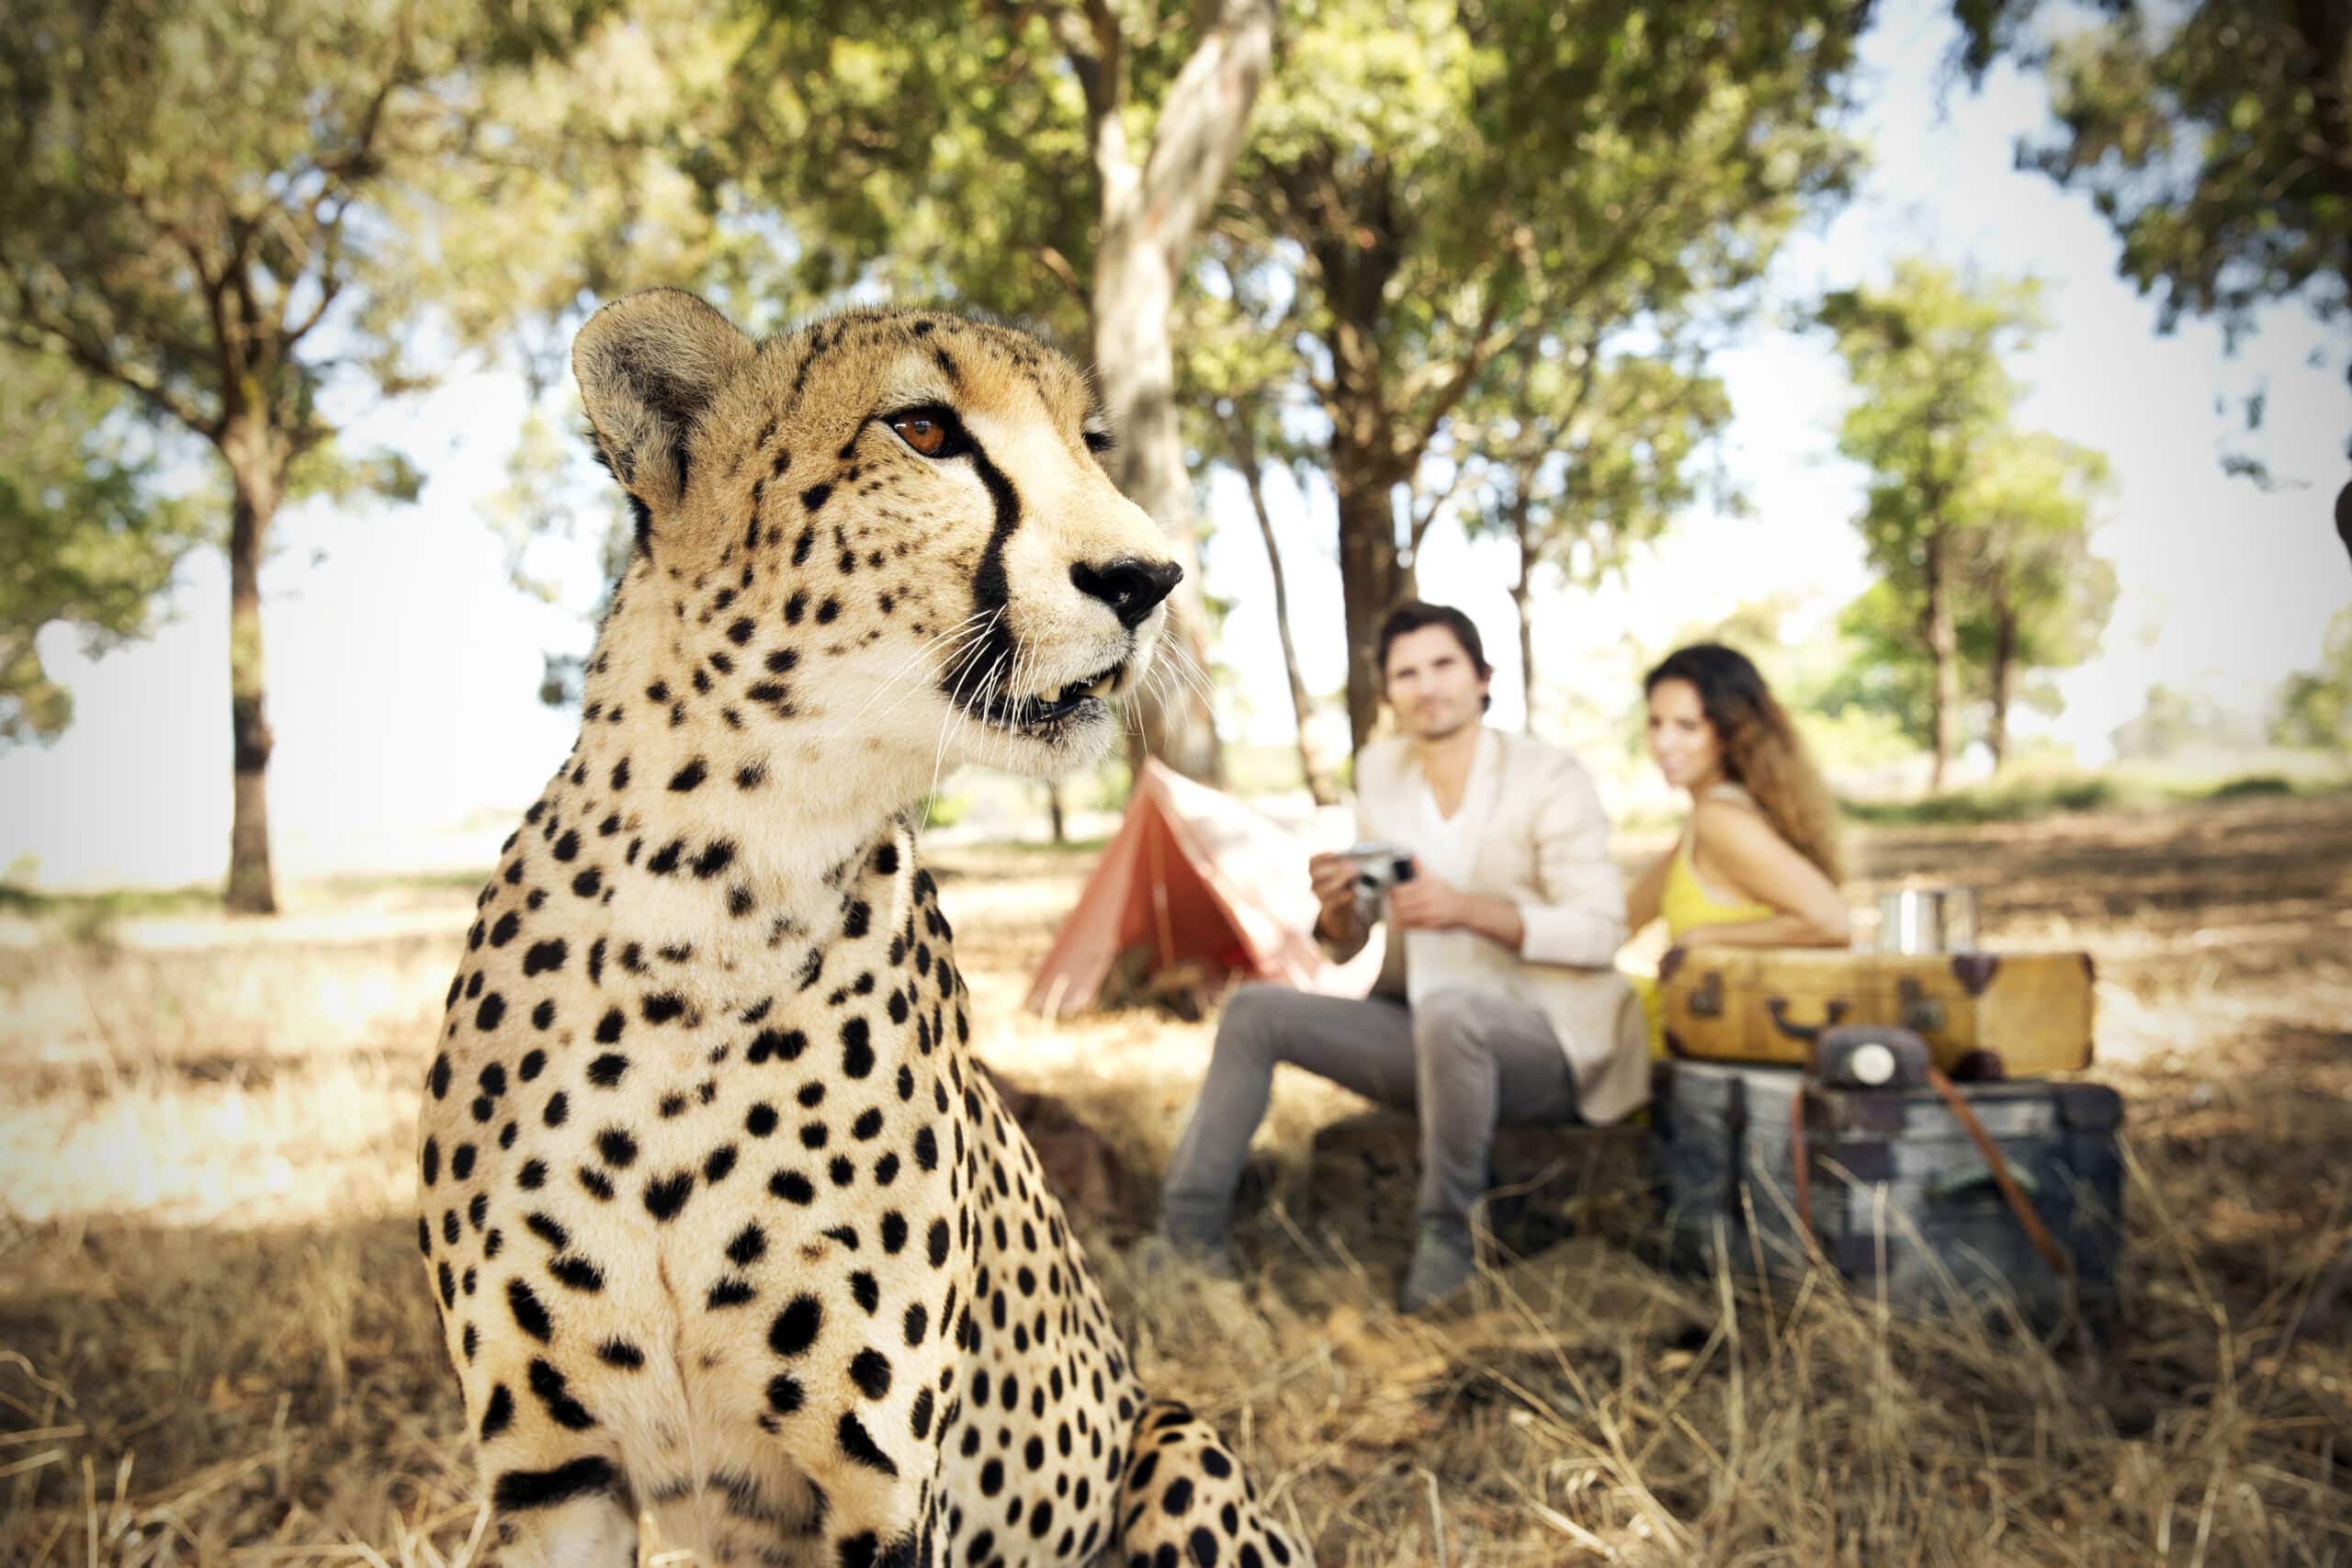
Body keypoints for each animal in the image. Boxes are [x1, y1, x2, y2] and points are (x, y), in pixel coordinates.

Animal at [418, 291, 1307, 1568]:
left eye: (1091, 441)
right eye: (924, 429)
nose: (1147, 579)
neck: (710, 891)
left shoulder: (875, 1491)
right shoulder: (552, 1472)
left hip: (1175, 1439)